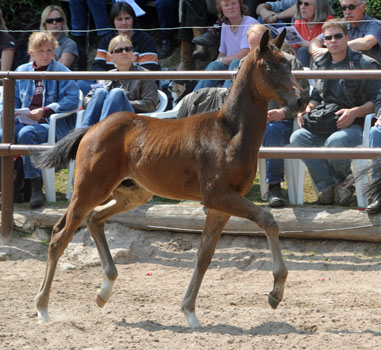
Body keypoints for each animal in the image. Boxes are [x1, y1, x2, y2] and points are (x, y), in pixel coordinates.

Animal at [33, 30, 308, 328]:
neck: (229, 133)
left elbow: (204, 255)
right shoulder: (219, 196)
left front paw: (190, 311)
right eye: (270, 66)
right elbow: (268, 220)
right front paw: (276, 293)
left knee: (95, 219)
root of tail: (92, 129)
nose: (301, 101)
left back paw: (104, 291)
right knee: (60, 235)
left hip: (133, 193)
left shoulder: (219, 206)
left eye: (289, 64)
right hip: (89, 189)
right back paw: (43, 308)